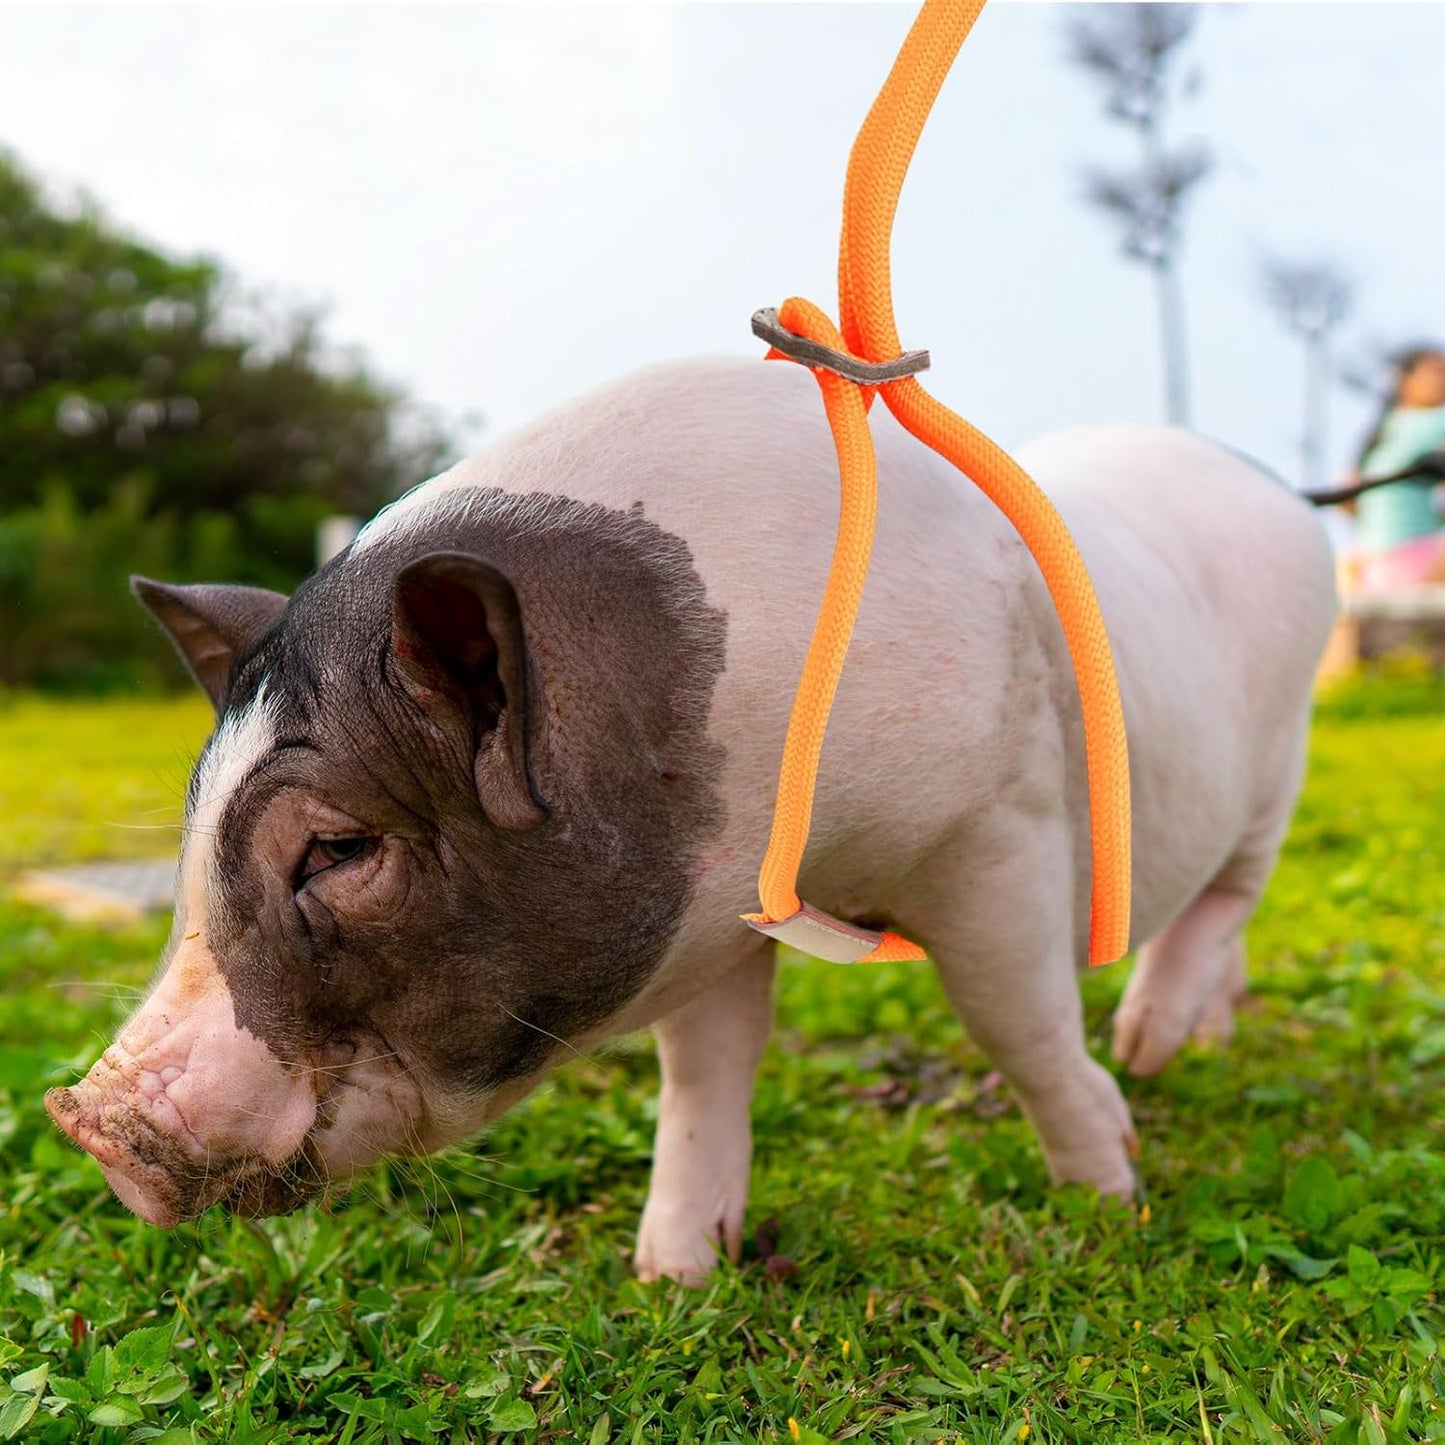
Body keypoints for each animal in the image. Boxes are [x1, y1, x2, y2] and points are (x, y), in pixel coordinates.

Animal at [46, 356, 1337, 1282]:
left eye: (338, 848)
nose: (88, 1119)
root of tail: (1283, 491)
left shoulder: (995, 826)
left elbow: (1015, 1022)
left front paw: (1108, 1191)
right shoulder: (713, 903)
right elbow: (705, 1069)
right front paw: (672, 1275)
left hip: (1282, 751)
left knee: (1231, 891)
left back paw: (1148, 1045)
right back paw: (1193, 1044)